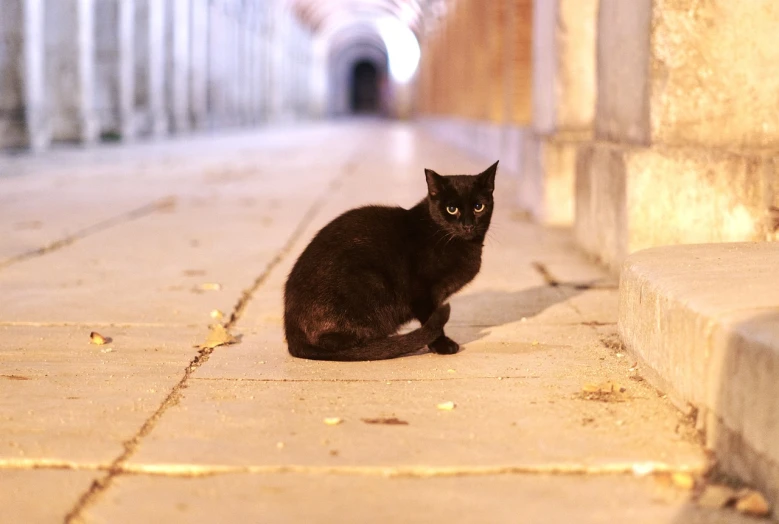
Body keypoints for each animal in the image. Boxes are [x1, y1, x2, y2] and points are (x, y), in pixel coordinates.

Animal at [284, 162, 496, 362]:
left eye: (479, 207)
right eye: (452, 209)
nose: (468, 226)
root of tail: (292, 338)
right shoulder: (422, 291)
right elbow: (430, 318)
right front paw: (441, 345)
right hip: (371, 282)